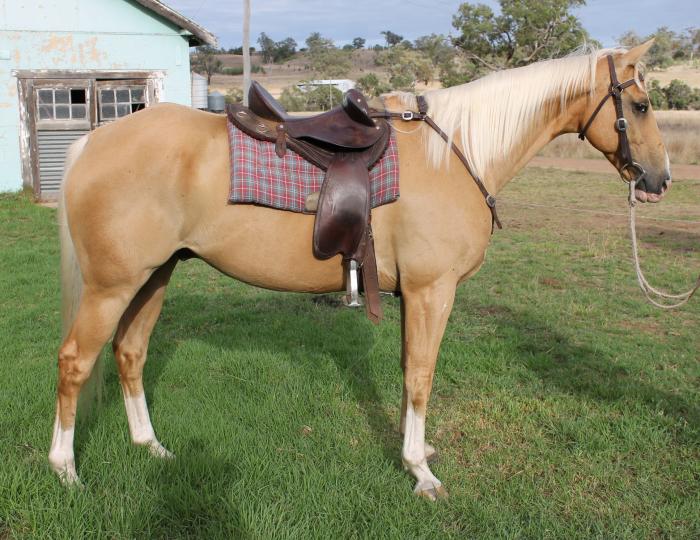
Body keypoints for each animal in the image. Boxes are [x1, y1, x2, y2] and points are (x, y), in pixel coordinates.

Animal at [49, 40, 670, 500]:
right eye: (639, 106)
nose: (659, 180)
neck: (456, 156)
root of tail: (94, 142)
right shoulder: (431, 292)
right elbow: (421, 375)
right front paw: (421, 471)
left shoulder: (413, 295)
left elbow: (407, 369)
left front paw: (414, 449)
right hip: (112, 286)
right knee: (76, 362)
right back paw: (66, 470)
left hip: (153, 277)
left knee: (130, 353)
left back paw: (149, 447)